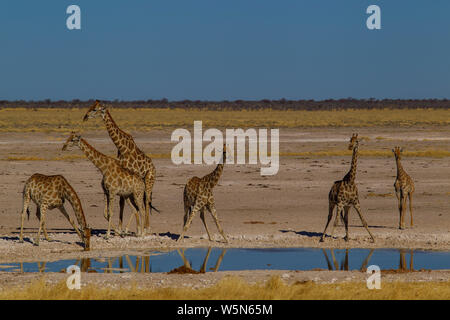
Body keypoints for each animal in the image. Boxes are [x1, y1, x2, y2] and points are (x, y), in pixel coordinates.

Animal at [82, 100, 158, 232]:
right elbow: (121, 202)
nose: (85, 117)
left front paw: (127, 228)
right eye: (90, 106)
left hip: (149, 180)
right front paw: (120, 227)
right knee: (142, 201)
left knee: (147, 200)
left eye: (95, 109)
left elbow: (127, 203)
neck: (122, 147)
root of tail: (153, 167)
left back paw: (146, 227)